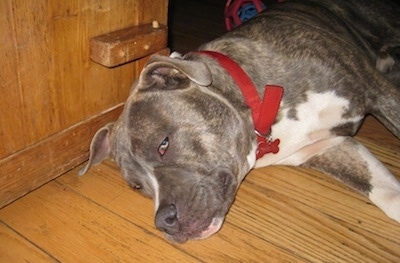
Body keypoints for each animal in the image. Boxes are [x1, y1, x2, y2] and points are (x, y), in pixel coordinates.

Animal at [79, 0, 400, 245]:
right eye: (136, 186)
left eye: (163, 144)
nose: (163, 221)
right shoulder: (327, 146)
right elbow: (386, 191)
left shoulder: (379, 93)